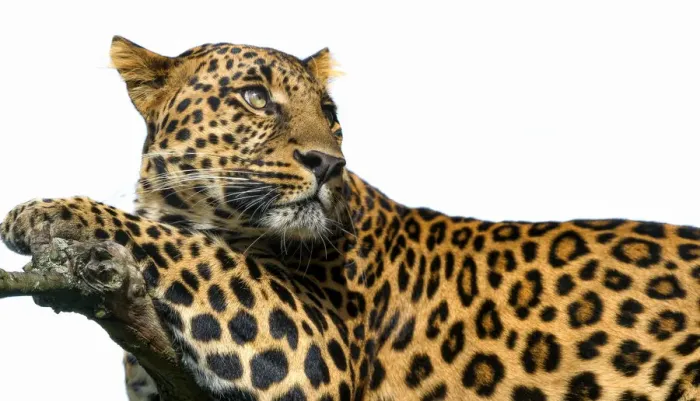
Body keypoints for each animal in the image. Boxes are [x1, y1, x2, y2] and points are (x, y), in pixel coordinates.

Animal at [2, 36, 700, 401]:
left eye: (331, 113)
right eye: (256, 98)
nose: (328, 163)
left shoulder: (314, 345)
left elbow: (186, 246)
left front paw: (46, 211)